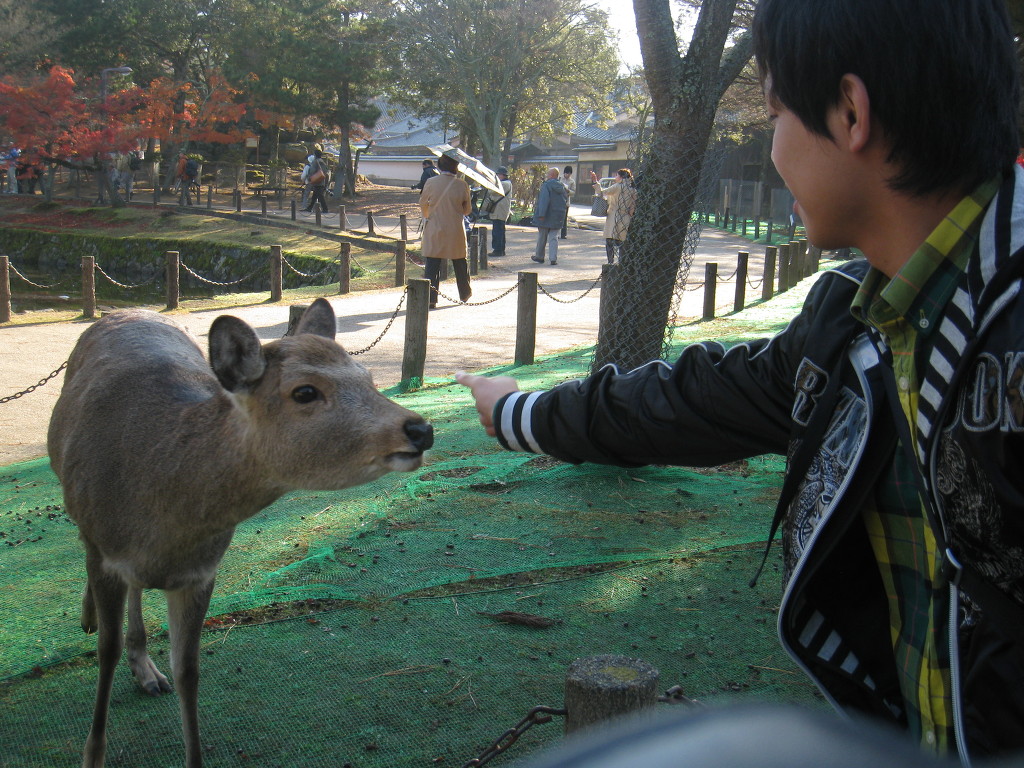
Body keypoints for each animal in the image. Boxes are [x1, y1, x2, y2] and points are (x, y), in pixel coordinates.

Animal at [47, 298, 433, 768]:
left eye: (369, 378)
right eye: (305, 391)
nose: (421, 429)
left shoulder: (201, 572)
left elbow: (188, 670)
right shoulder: (105, 552)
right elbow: (106, 650)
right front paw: (92, 754)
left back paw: (148, 671)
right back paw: (91, 620)